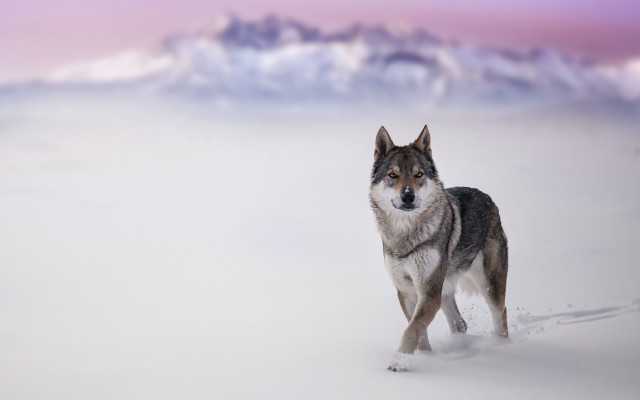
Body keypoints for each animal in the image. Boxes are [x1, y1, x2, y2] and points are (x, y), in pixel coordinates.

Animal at [369, 125, 509, 371]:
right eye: (392, 175)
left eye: (418, 175)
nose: (408, 196)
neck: (406, 235)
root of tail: (489, 199)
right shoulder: (407, 291)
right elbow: (418, 331)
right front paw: (424, 357)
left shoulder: (429, 292)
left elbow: (411, 329)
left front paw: (398, 363)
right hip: (444, 291)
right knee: (461, 324)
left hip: (488, 287)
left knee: (500, 314)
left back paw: (504, 348)